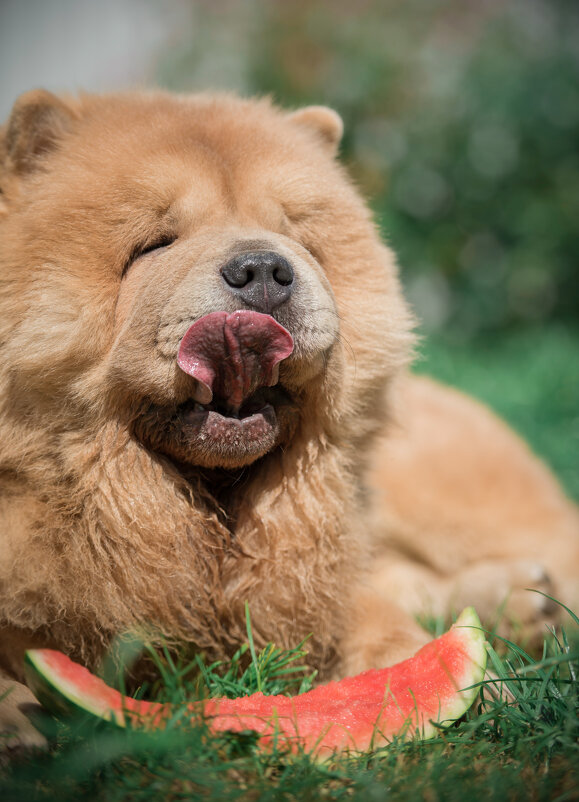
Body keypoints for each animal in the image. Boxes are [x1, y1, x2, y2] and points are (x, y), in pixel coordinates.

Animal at [1, 90, 579, 748]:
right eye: (155, 244)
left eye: (290, 235)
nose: (262, 269)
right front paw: (14, 726)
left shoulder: (319, 572)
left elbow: (375, 617)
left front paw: (449, 688)